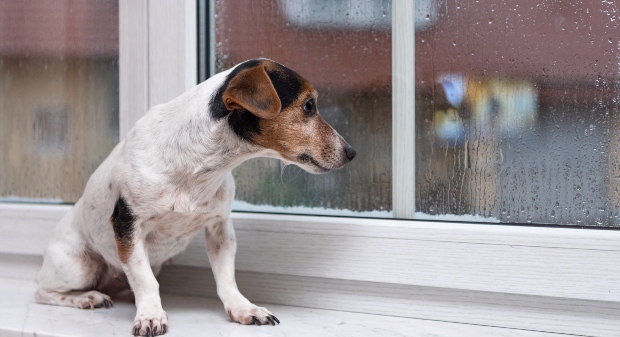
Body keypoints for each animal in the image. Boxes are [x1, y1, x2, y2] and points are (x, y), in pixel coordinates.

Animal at [36, 59, 356, 334]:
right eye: (309, 106)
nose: (352, 152)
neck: (200, 165)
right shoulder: (128, 226)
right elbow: (145, 280)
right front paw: (150, 315)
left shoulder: (220, 228)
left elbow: (226, 279)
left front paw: (244, 309)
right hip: (79, 266)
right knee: (43, 291)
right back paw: (86, 297)